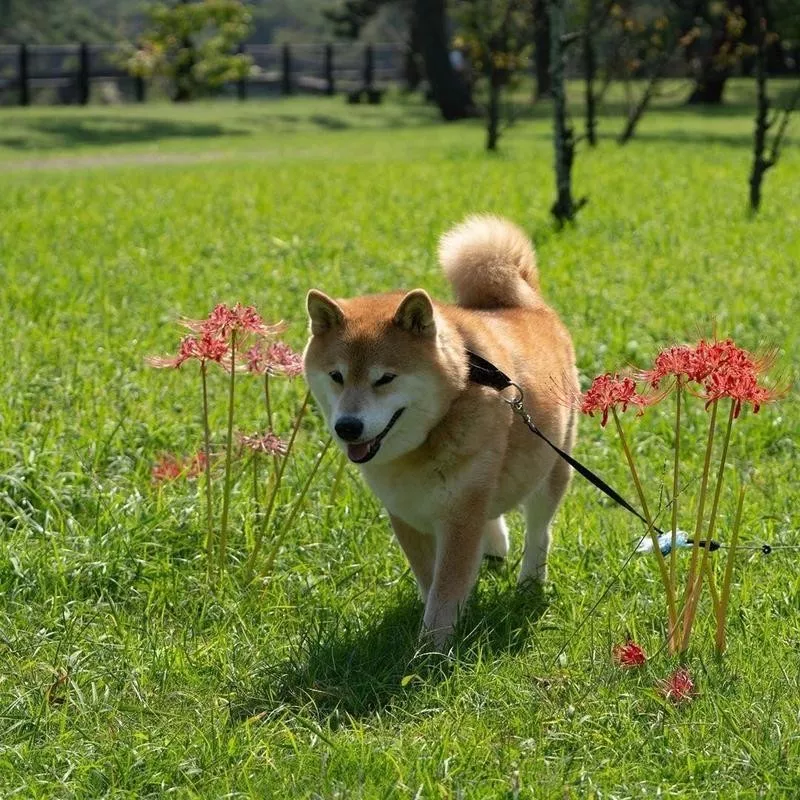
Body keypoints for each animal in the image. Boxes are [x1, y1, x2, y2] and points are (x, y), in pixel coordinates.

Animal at [304, 214, 580, 648]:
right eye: (336, 376)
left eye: (385, 378)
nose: (348, 427)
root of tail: (528, 304)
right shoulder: (406, 513)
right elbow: (429, 578)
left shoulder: (459, 516)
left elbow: (446, 587)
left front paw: (432, 649)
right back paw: (494, 548)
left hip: (551, 465)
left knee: (539, 531)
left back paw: (529, 582)